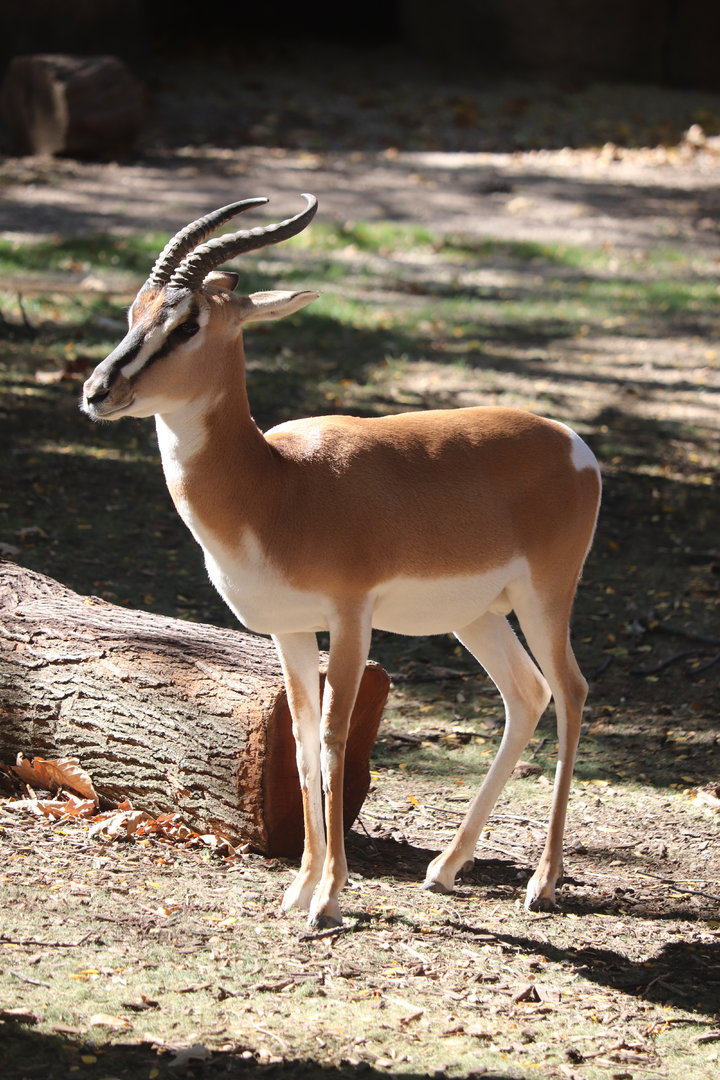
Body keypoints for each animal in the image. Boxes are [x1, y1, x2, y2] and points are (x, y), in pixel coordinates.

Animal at [82, 194, 602, 929]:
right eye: (136, 310)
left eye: (186, 324)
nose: (97, 390)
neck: (276, 486)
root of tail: (571, 443)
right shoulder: (291, 629)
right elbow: (300, 743)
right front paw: (300, 887)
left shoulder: (351, 617)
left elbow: (333, 736)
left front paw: (328, 897)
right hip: (475, 617)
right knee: (526, 694)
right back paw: (444, 869)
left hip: (545, 598)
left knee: (572, 692)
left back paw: (543, 883)